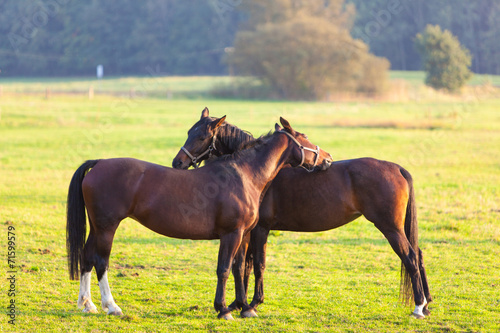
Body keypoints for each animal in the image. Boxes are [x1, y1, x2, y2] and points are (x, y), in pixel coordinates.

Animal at [66, 116, 332, 320]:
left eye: (201, 137)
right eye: (305, 137)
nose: (327, 158)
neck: (243, 174)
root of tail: (99, 163)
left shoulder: (243, 234)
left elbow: (238, 268)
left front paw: (245, 308)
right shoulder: (231, 234)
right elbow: (224, 269)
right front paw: (223, 309)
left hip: (97, 228)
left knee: (86, 258)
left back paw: (87, 304)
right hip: (107, 228)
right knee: (101, 262)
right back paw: (111, 306)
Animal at [172, 107, 430, 318]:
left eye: (202, 137)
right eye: (188, 132)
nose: (178, 163)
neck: (253, 170)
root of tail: (396, 167)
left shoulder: (258, 229)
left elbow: (255, 265)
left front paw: (251, 304)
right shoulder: (244, 231)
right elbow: (243, 265)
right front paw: (238, 304)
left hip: (390, 227)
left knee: (409, 257)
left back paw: (418, 307)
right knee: (418, 255)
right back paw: (426, 304)